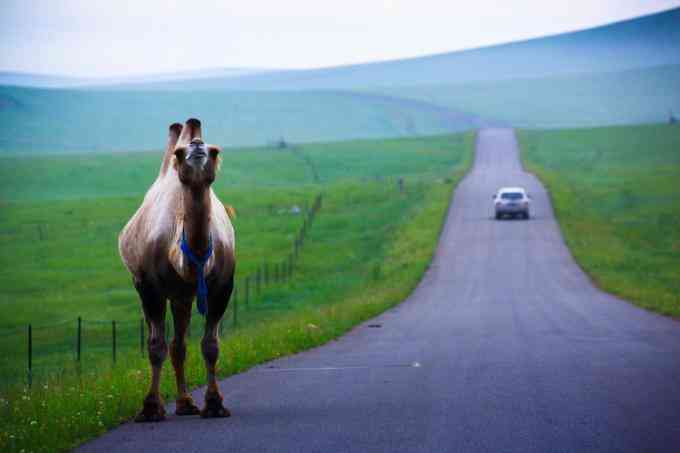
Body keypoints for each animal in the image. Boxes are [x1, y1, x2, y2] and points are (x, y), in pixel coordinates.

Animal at [117, 119, 234, 420]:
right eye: (180, 154)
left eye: (214, 151)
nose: (197, 146)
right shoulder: (148, 287)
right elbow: (155, 346)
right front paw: (150, 407)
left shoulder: (223, 286)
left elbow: (210, 346)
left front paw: (214, 404)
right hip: (154, 289)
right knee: (167, 342)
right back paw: (180, 403)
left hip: (183, 297)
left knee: (179, 345)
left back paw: (186, 403)